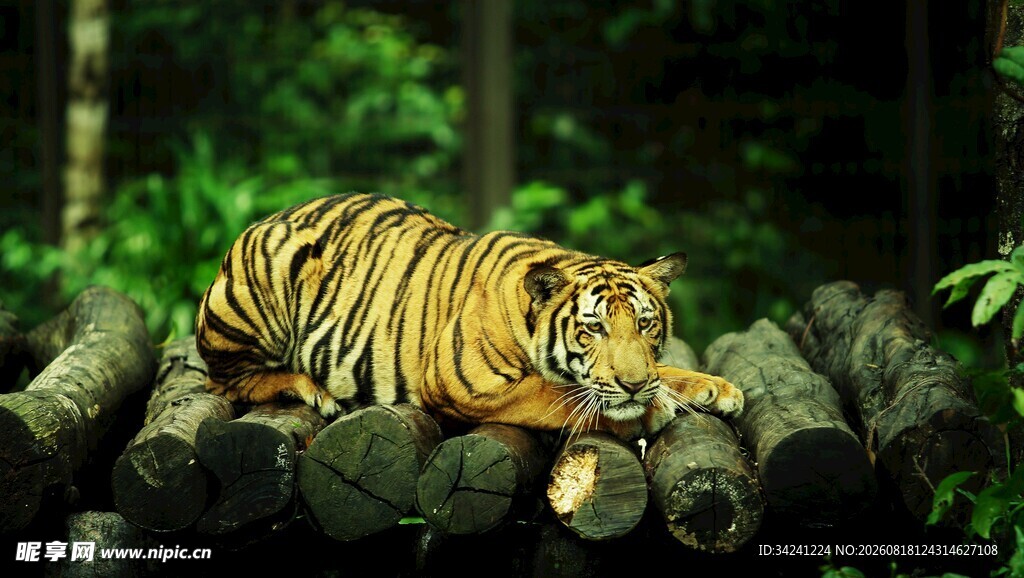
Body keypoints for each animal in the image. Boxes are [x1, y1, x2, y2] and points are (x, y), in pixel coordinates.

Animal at [195, 193, 743, 440]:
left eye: (645, 324)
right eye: (593, 329)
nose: (632, 386)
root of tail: (273, 216)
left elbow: (661, 371)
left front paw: (713, 388)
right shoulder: (466, 384)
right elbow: (556, 396)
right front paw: (649, 409)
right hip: (259, 286)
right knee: (225, 380)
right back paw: (308, 388)